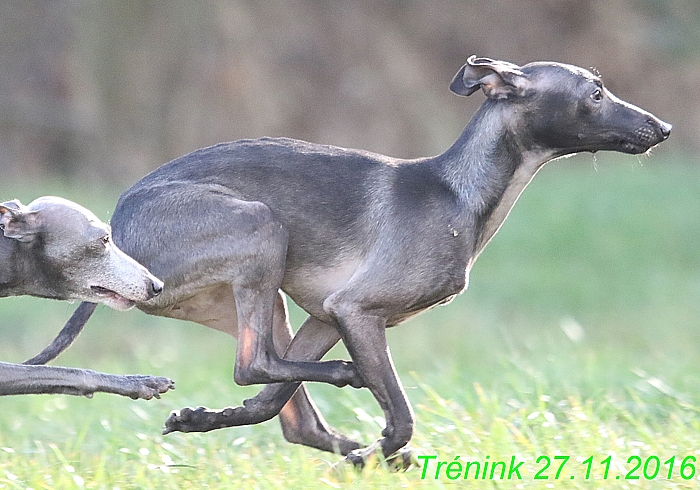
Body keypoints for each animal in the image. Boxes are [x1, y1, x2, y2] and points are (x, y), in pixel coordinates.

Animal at [57, 57, 668, 464]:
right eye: (595, 93)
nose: (663, 128)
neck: (458, 192)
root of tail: (116, 228)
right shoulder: (357, 310)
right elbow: (400, 418)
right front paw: (376, 449)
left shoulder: (328, 315)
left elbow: (284, 407)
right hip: (260, 229)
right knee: (255, 366)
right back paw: (346, 385)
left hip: (265, 298)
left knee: (284, 407)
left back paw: (222, 420)